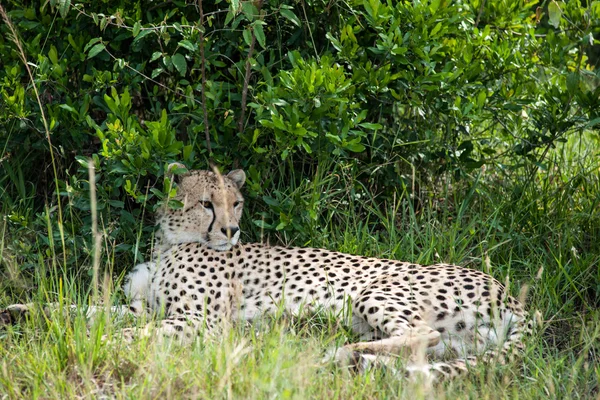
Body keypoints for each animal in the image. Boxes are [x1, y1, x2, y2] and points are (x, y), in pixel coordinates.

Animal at [2, 166, 532, 382]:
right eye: (206, 203)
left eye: (235, 202)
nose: (232, 229)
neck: (174, 240)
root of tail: (511, 293)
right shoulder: (140, 305)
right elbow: (81, 310)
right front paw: (20, 312)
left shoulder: (198, 321)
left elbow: (130, 333)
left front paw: (103, 347)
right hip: (455, 341)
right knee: (424, 349)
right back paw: (359, 361)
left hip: (373, 292)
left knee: (419, 335)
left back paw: (341, 355)